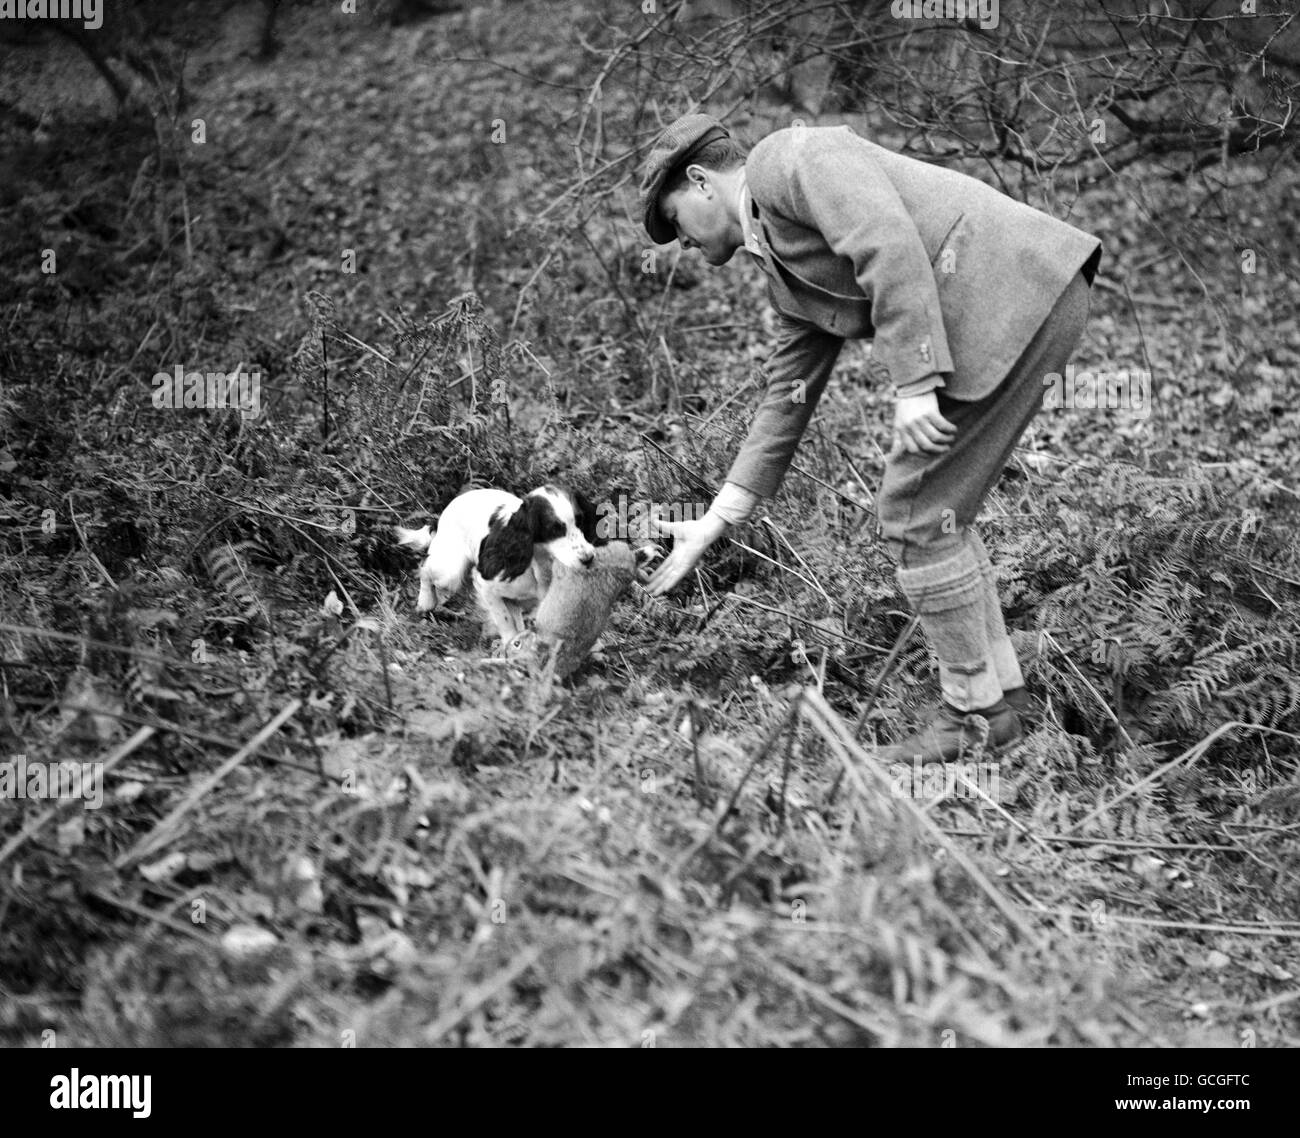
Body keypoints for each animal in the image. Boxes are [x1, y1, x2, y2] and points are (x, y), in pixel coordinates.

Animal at [392, 483, 600, 645]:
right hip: (449, 572)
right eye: (554, 529)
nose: (589, 558)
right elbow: (505, 621)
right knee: (425, 568)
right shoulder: (486, 586)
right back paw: (425, 601)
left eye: (580, 520)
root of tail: (444, 512)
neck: (538, 565)